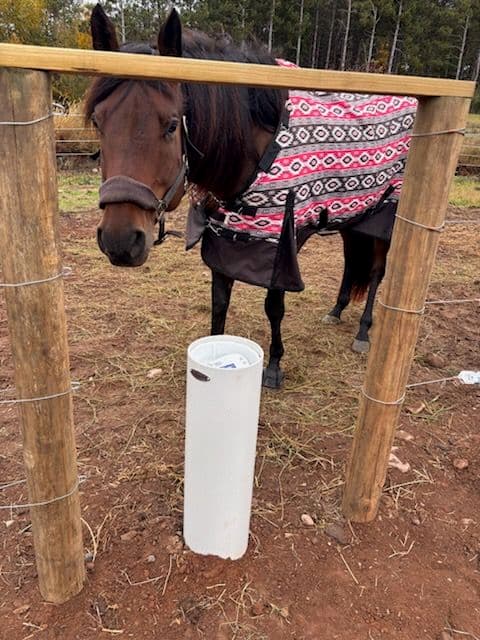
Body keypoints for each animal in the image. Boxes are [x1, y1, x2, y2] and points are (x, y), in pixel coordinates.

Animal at [86, 4, 417, 388]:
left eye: (170, 125)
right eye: (98, 122)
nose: (120, 241)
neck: (253, 143)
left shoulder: (281, 244)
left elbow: (274, 306)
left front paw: (273, 366)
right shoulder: (222, 239)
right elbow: (219, 302)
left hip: (383, 217)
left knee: (376, 272)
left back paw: (363, 331)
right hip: (354, 215)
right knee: (352, 263)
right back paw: (336, 310)